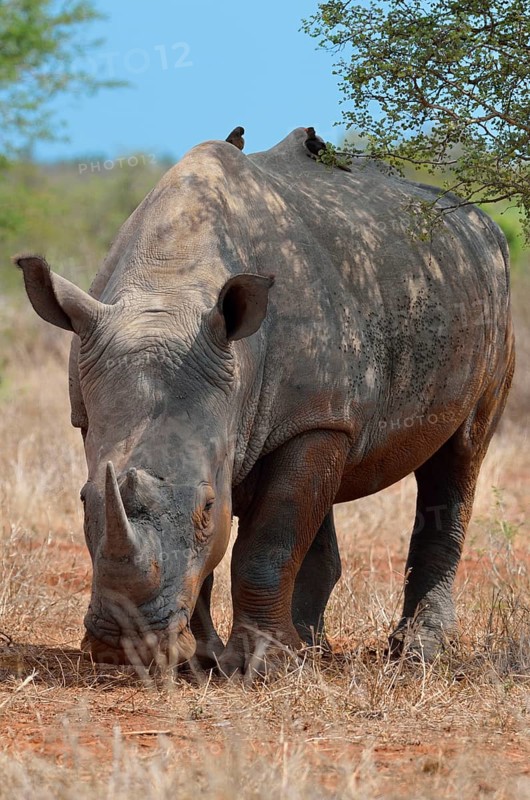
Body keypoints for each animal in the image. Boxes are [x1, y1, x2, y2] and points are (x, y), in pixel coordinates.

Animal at [16, 129, 514, 674]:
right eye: (83, 500)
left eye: (207, 505)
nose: (120, 645)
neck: (168, 291)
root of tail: (482, 223)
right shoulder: (95, 413)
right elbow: (227, 547)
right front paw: (202, 660)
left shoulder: (310, 419)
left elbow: (268, 542)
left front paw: (261, 667)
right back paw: (311, 649)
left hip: (492, 300)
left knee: (459, 457)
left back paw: (414, 654)